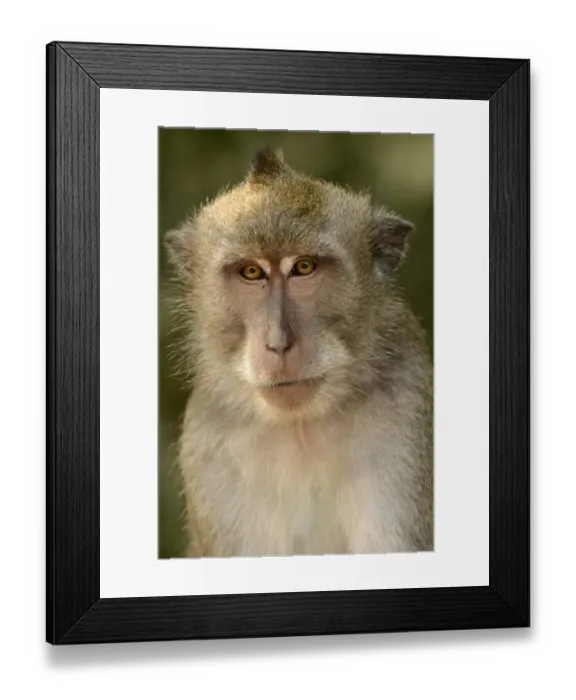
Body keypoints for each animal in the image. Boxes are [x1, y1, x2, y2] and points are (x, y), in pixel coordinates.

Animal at [164, 147, 433, 558]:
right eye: (252, 272)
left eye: (304, 267)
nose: (277, 343)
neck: (301, 427)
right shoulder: (211, 442)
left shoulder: (405, 414)